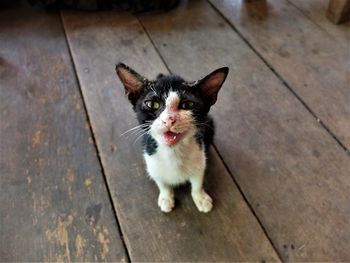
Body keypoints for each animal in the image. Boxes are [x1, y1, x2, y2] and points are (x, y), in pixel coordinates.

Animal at [116, 63, 228, 213]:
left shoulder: (199, 158)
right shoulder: (151, 161)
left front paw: (200, 197)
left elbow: (197, 181)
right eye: (152, 104)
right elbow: (161, 181)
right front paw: (166, 198)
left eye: (188, 105)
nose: (169, 119)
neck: (172, 152)